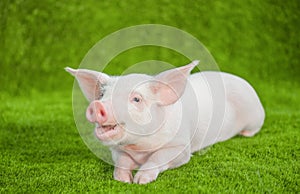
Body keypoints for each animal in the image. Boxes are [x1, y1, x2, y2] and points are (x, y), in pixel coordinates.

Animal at [65, 61, 264, 185]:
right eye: (102, 94)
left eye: (136, 99)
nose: (97, 105)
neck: (140, 149)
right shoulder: (117, 149)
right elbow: (122, 161)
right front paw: (123, 180)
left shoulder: (181, 147)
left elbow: (158, 157)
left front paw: (141, 181)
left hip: (255, 118)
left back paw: (245, 134)